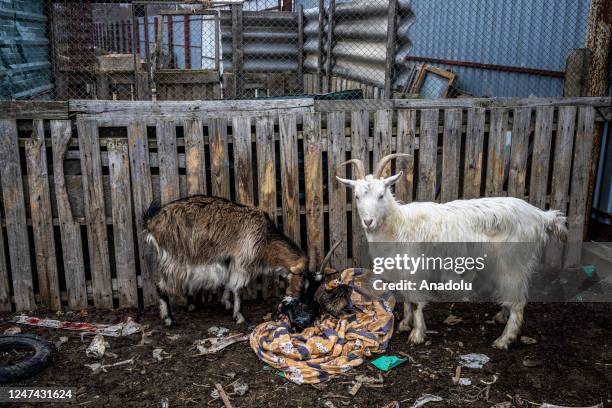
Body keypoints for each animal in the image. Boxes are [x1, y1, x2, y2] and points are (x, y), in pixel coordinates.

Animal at [144, 194, 310, 326]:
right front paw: (240, 316)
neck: (266, 239)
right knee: (160, 285)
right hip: (175, 260)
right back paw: (169, 319)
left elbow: (228, 283)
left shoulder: (229, 261)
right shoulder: (242, 261)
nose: (301, 302)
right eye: (302, 281)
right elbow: (238, 289)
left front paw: (226, 303)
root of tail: (152, 221)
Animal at [338, 153, 568, 348]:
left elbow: (416, 302)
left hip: (513, 263)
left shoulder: (416, 269)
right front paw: (404, 323)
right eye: (356, 196)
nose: (368, 222)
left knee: (518, 303)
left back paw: (504, 339)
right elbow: (407, 299)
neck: (399, 225)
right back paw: (502, 316)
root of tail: (540, 216)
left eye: (381, 195)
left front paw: (417, 334)